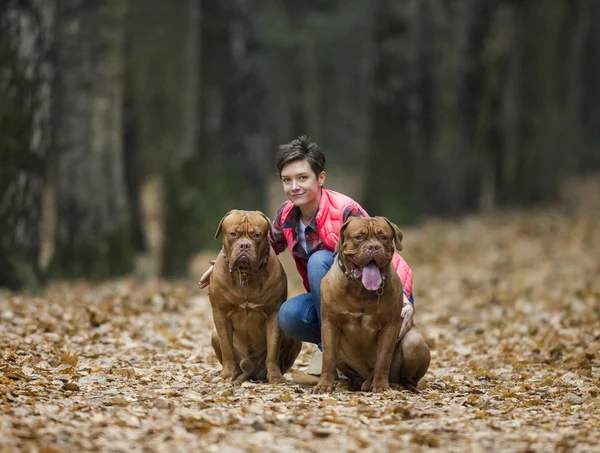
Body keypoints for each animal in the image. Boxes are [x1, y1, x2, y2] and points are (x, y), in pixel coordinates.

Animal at [210, 208, 302, 382]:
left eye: (256, 235)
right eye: (233, 234)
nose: (244, 245)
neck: (245, 275)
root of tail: (251, 370)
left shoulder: (273, 313)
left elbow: (273, 350)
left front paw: (275, 377)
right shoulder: (220, 312)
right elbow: (226, 348)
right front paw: (226, 375)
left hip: (293, 338)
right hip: (214, 334)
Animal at [314, 215, 432, 392]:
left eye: (383, 237)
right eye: (358, 237)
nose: (373, 247)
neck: (361, 290)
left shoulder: (389, 326)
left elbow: (383, 359)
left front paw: (381, 386)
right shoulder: (330, 324)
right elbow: (328, 358)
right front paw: (324, 385)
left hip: (414, 343)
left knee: (407, 377)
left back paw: (398, 385)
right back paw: (352, 384)